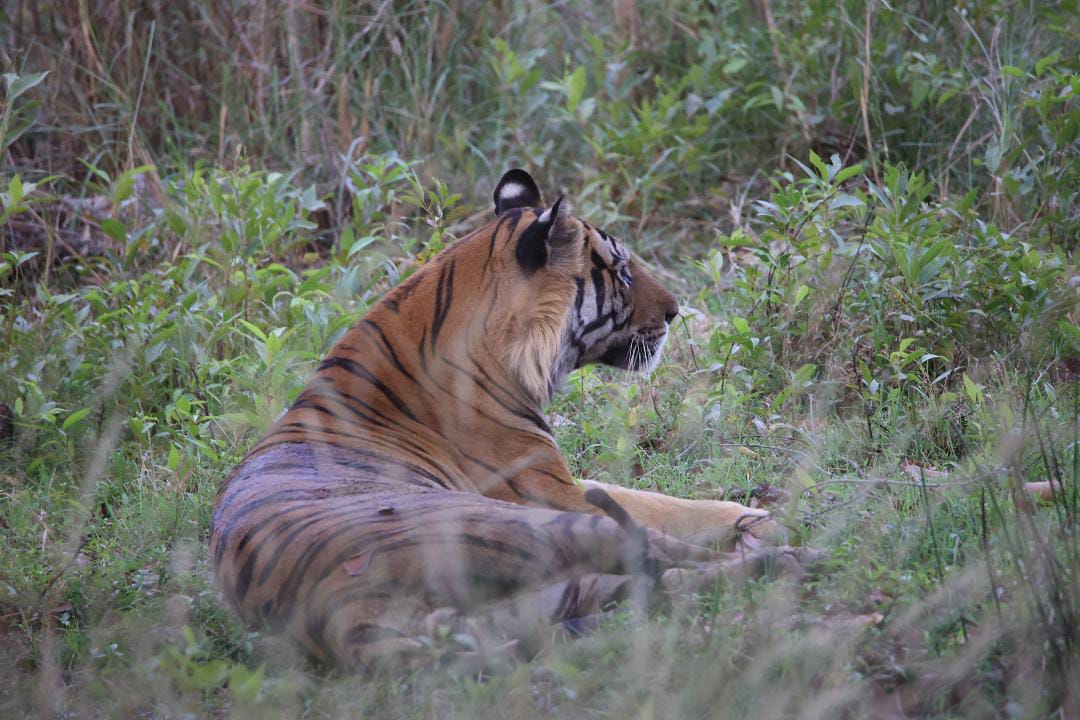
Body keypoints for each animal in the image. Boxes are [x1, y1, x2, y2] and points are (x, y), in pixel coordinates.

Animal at [210, 169, 807, 669]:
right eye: (621, 271)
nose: (676, 310)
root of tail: (339, 614)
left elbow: (664, 500)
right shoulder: (549, 488)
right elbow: (665, 507)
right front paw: (762, 517)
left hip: (537, 598)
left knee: (666, 584)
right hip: (536, 526)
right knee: (659, 554)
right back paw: (793, 550)